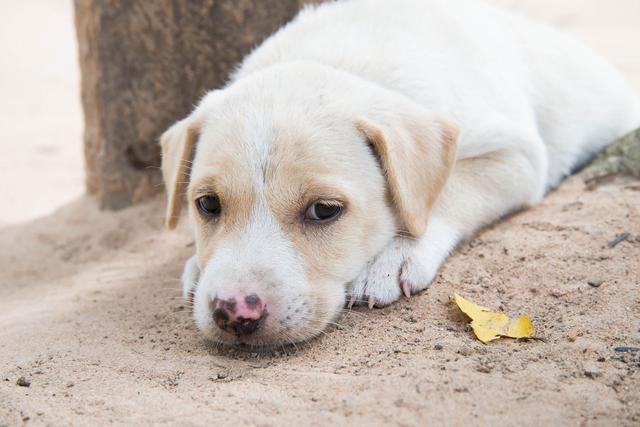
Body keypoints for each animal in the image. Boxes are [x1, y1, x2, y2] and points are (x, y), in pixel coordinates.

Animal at [160, 0, 640, 348]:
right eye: (207, 204)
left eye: (324, 211)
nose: (233, 313)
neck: (339, 59)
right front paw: (197, 265)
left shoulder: (517, 155)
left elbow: (446, 192)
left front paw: (394, 256)